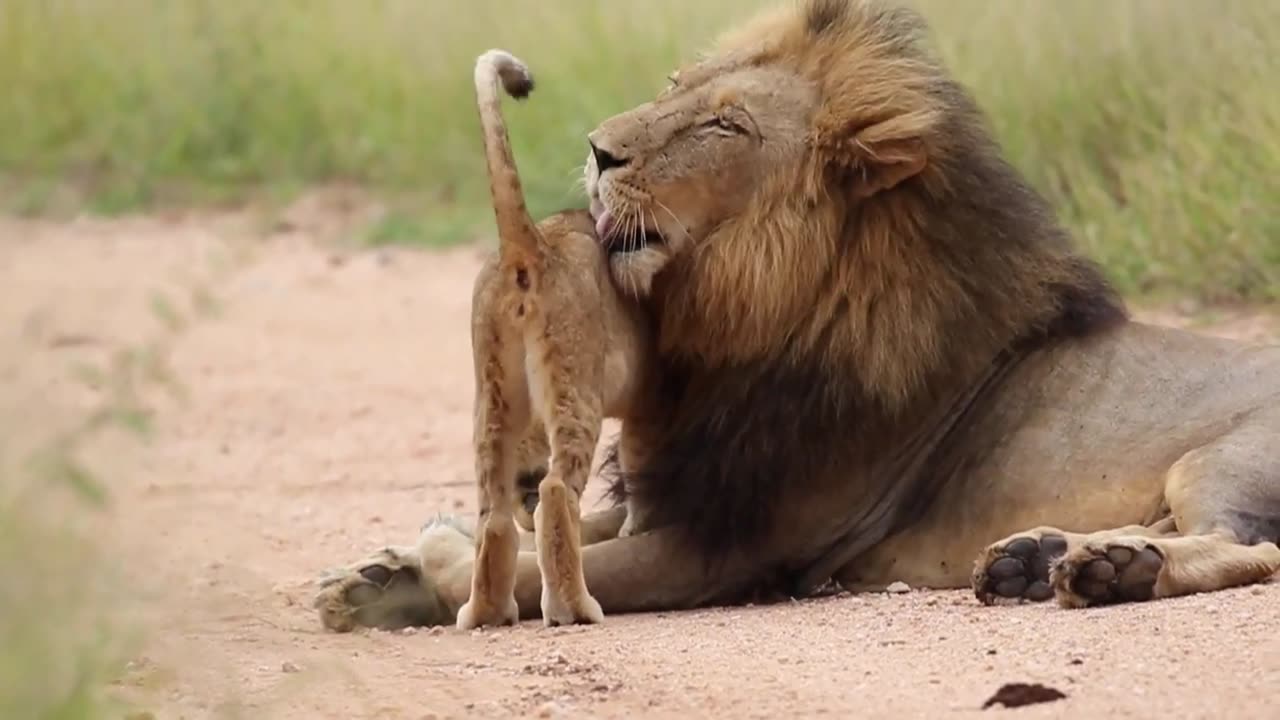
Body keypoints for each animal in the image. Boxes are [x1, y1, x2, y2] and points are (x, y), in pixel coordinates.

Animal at [312, 0, 1280, 627]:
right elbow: (560, 531)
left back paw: (1109, 570)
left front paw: (439, 566)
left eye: (724, 126)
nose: (596, 149)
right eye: (676, 84)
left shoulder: (732, 545)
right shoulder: (676, 495)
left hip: (1221, 460)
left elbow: (540, 559)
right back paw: (1045, 560)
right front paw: (376, 575)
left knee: (1253, 549)